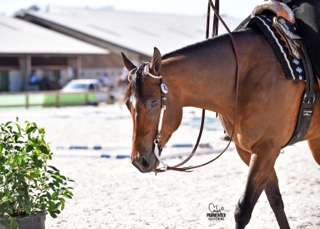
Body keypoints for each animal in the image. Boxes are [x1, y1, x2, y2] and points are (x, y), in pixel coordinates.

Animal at [120, 26, 320, 227]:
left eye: (154, 102)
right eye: (128, 104)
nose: (139, 161)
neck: (244, 79)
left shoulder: (266, 150)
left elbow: (243, 210)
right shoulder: (249, 151)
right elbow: (275, 200)